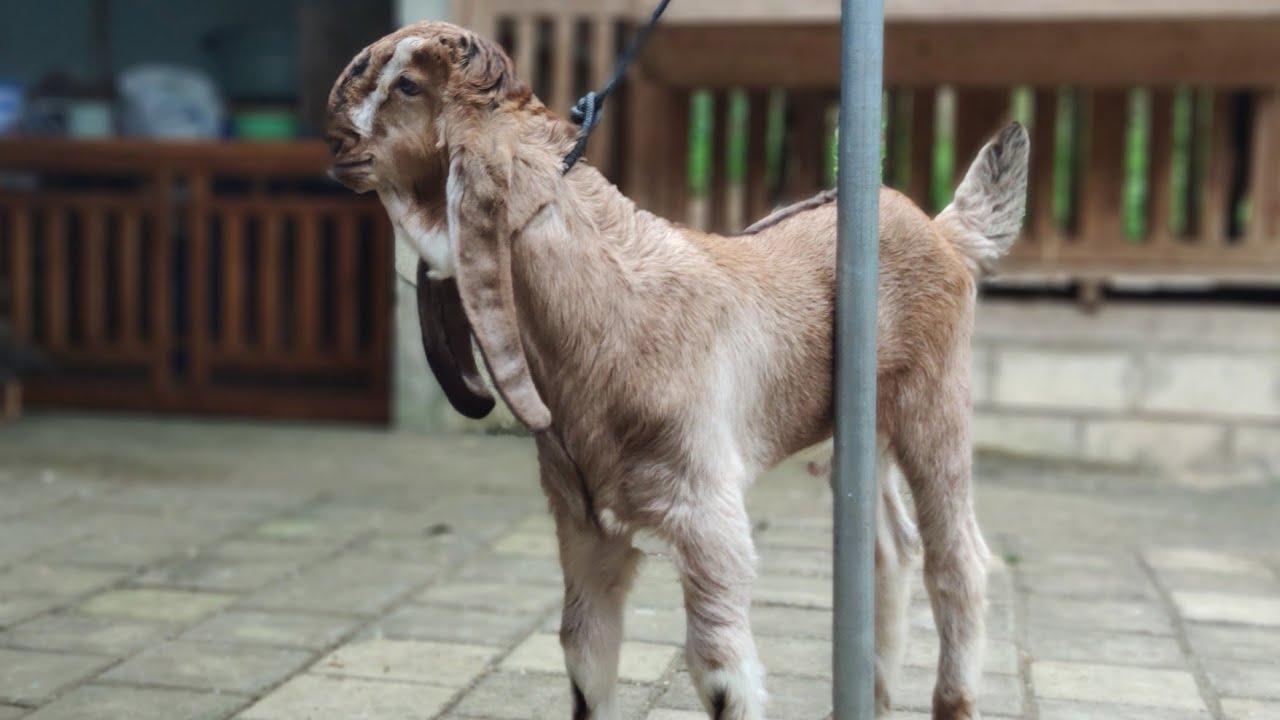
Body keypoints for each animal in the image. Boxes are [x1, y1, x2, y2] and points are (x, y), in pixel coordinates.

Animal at [325, 22, 1029, 720]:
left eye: (407, 87)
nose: (337, 144)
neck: (614, 312)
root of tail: (945, 233)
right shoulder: (585, 528)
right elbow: (584, 657)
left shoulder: (708, 516)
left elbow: (720, 672)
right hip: (861, 434)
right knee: (888, 546)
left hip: (935, 405)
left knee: (958, 558)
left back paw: (953, 696)